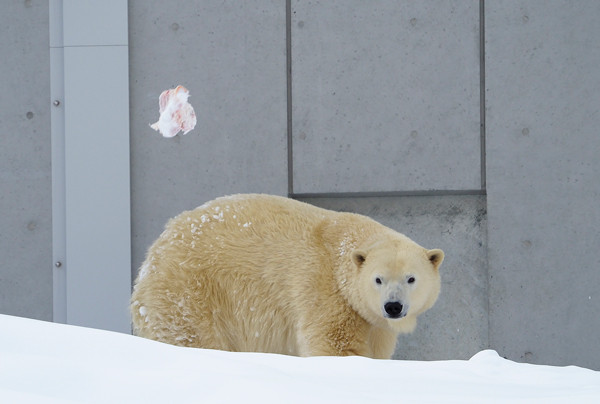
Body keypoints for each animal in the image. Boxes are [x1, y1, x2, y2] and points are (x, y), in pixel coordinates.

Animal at [130, 194, 440, 358]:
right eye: (378, 279)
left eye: (411, 278)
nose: (393, 306)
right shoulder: (322, 289)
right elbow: (333, 344)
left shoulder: (374, 321)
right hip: (189, 292)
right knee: (192, 336)